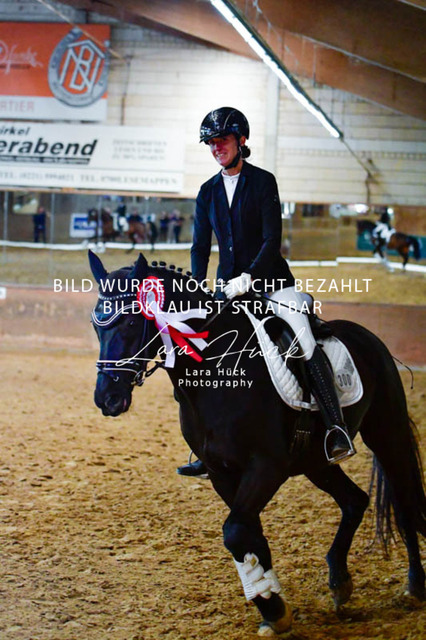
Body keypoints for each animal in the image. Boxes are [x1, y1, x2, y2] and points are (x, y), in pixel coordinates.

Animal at [88, 250, 425, 637]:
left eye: (131, 323)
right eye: (97, 326)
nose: (107, 399)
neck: (216, 374)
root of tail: (368, 336)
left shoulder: (267, 466)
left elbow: (236, 532)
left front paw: (272, 606)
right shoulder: (221, 472)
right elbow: (247, 534)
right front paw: (271, 604)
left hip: (386, 432)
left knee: (404, 501)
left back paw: (414, 586)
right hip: (315, 462)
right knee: (356, 501)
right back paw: (340, 582)